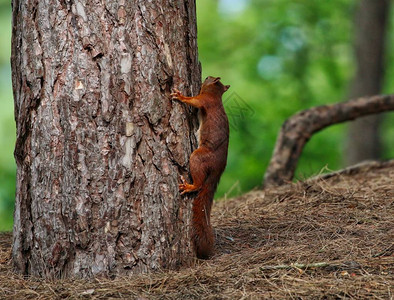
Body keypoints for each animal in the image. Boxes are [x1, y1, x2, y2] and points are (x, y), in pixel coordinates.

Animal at [170, 76, 231, 258]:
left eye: (209, 78)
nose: (206, 77)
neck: (216, 96)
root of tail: (219, 168)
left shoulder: (205, 101)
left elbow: (194, 101)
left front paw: (180, 96)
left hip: (198, 157)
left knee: (198, 183)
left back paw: (189, 186)